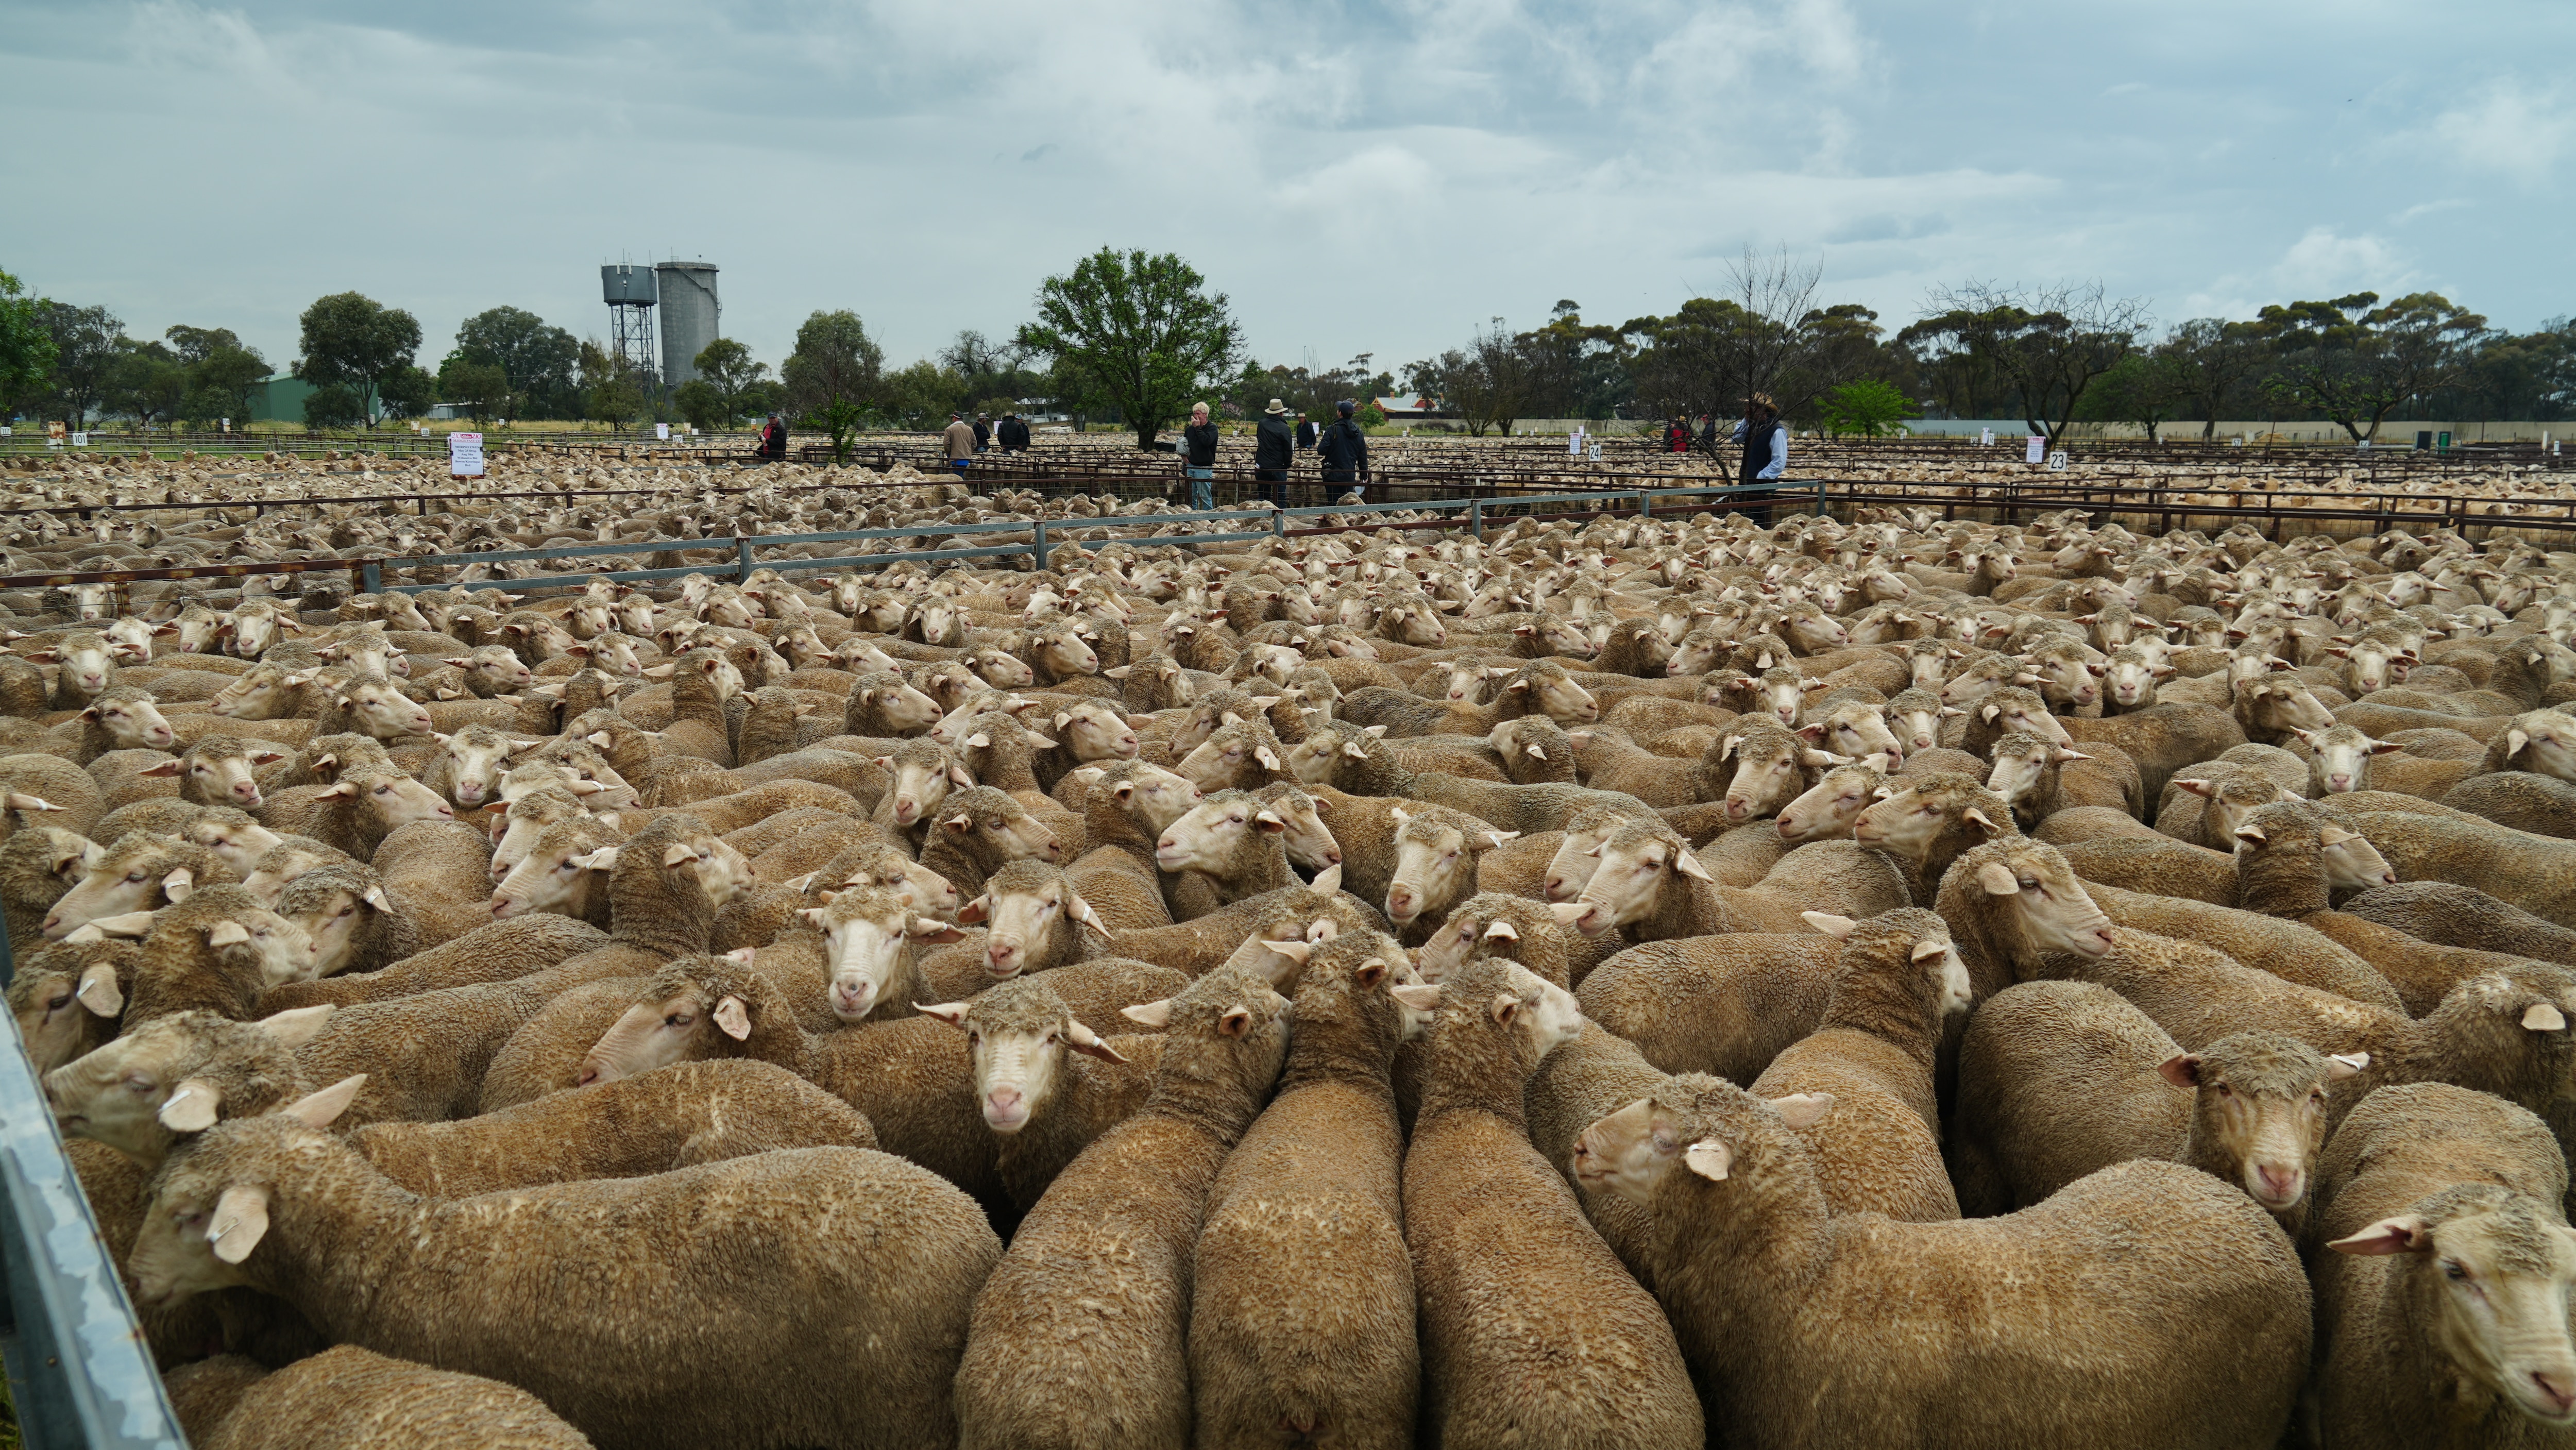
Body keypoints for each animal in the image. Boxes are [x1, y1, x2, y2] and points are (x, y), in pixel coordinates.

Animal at [1951, 981, 2362, 1231]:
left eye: (2316, 1096)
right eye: (2223, 1088)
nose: (2278, 1176)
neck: (2179, 1151)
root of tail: (2028, 987)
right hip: (1975, 1148)